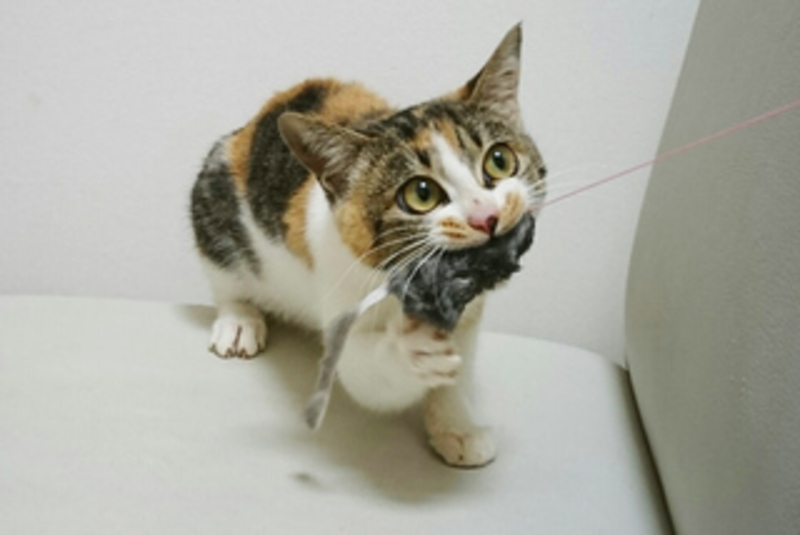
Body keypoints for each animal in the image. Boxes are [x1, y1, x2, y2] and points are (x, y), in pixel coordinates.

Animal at [190, 24, 546, 467]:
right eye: (422, 194)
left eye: (499, 160)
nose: (487, 217)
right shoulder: (339, 280)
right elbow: (366, 377)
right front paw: (411, 350)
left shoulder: (473, 310)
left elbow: (459, 365)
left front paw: (456, 427)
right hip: (213, 201)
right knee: (225, 277)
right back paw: (239, 321)